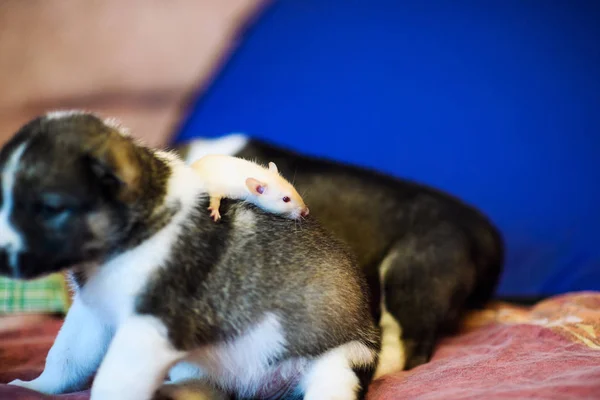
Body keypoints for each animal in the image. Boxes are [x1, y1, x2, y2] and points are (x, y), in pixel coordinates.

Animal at [1, 111, 380, 400]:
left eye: (50, 208)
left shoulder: (152, 326)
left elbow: (113, 380)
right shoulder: (91, 315)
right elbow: (66, 356)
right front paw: (34, 387)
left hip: (337, 362)